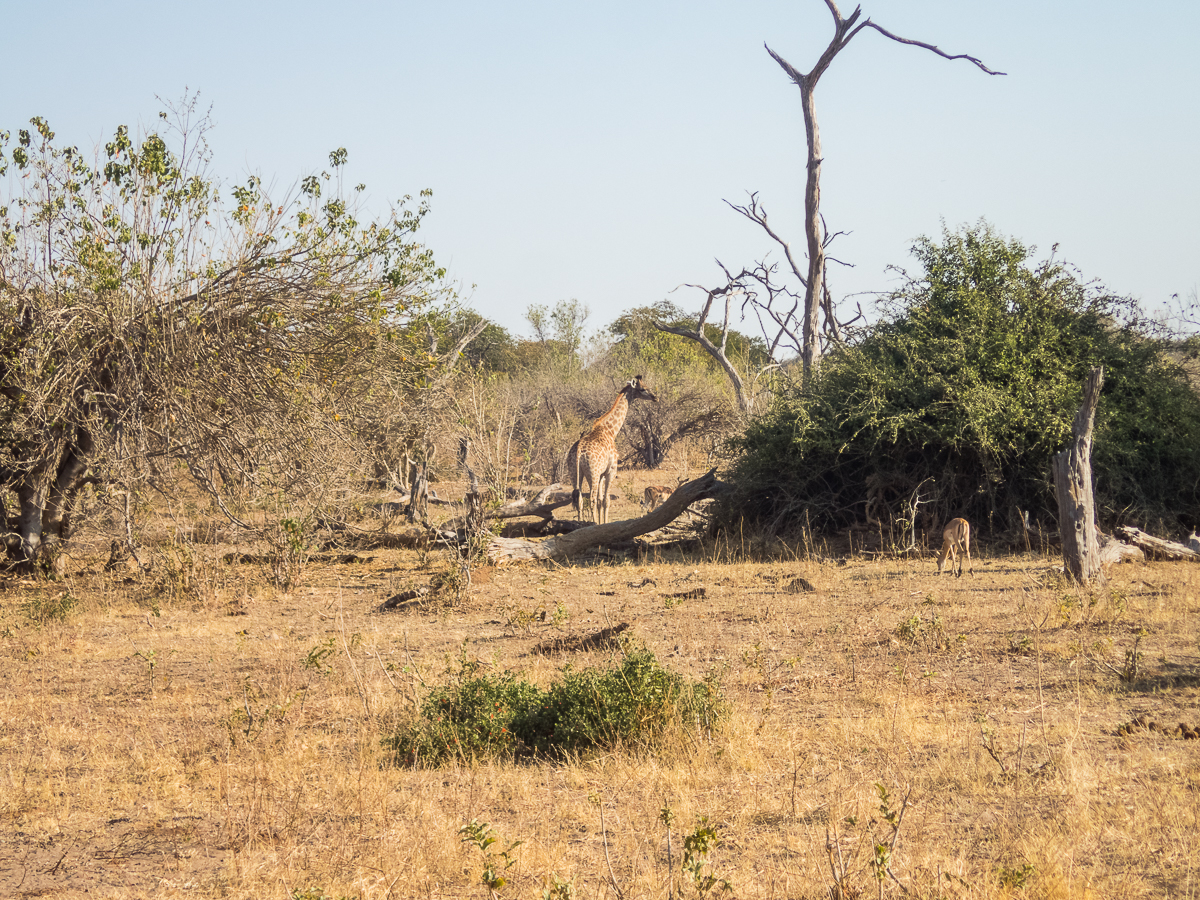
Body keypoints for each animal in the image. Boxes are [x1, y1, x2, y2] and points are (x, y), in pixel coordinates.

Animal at [568, 374, 662, 528]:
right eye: (643, 389)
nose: (655, 397)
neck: (611, 431)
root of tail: (578, 452)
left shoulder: (601, 474)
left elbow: (601, 501)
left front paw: (601, 523)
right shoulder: (611, 470)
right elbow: (606, 500)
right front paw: (604, 524)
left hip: (575, 473)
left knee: (579, 499)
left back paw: (579, 525)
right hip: (592, 473)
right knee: (591, 499)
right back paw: (592, 524)